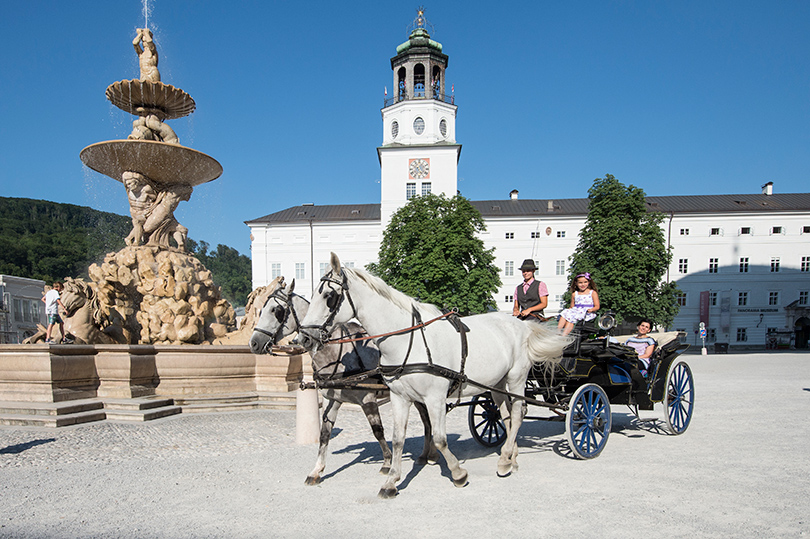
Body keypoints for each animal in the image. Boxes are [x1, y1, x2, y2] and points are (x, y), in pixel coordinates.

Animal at [249, 278, 436, 486]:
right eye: (262, 309)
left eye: (276, 310)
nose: (254, 343)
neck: (338, 353)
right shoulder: (333, 400)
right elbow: (324, 434)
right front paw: (316, 470)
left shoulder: (368, 399)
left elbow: (378, 430)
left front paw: (387, 462)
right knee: (428, 421)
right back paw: (428, 454)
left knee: (428, 421)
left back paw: (429, 454)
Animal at [296, 253, 568, 498]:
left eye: (328, 296)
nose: (304, 338)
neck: (408, 340)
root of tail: (521, 323)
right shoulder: (399, 397)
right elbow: (397, 439)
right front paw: (391, 481)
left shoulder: (435, 398)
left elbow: (439, 438)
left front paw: (458, 473)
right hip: (496, 384)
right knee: (507, 415)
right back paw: (510, 457)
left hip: (516, 379)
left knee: (519, 413)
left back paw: (504, 461)